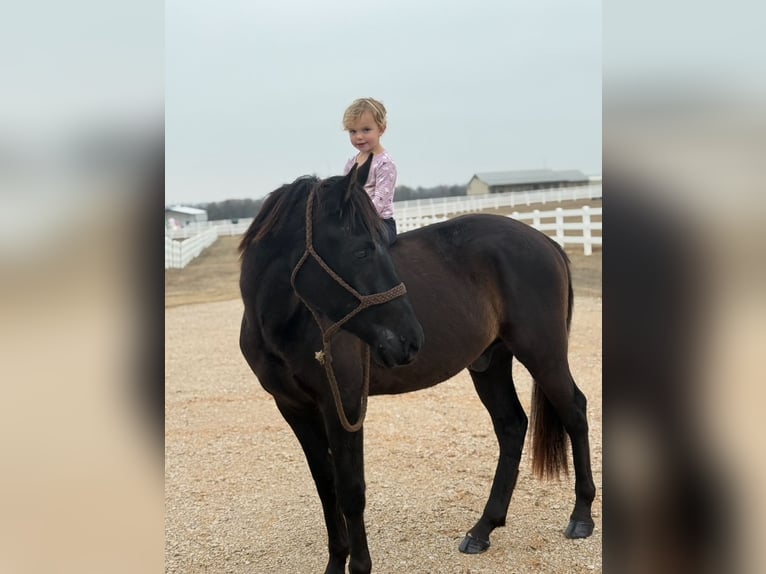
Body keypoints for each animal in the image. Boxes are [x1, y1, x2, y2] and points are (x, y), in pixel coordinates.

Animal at [238, 156, 596, 574]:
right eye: (362, 251)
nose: (410, 339)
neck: (287, 320)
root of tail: (546, 242)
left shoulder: (344, 405)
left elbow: (351, 490)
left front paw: (359, 566)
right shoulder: (294, 408)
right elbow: (326, 487)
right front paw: (335, 563)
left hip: (543, 353)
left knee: (574, 412)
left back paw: (582, 517)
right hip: (490, 363)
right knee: (511, 426)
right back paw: (483, 529)